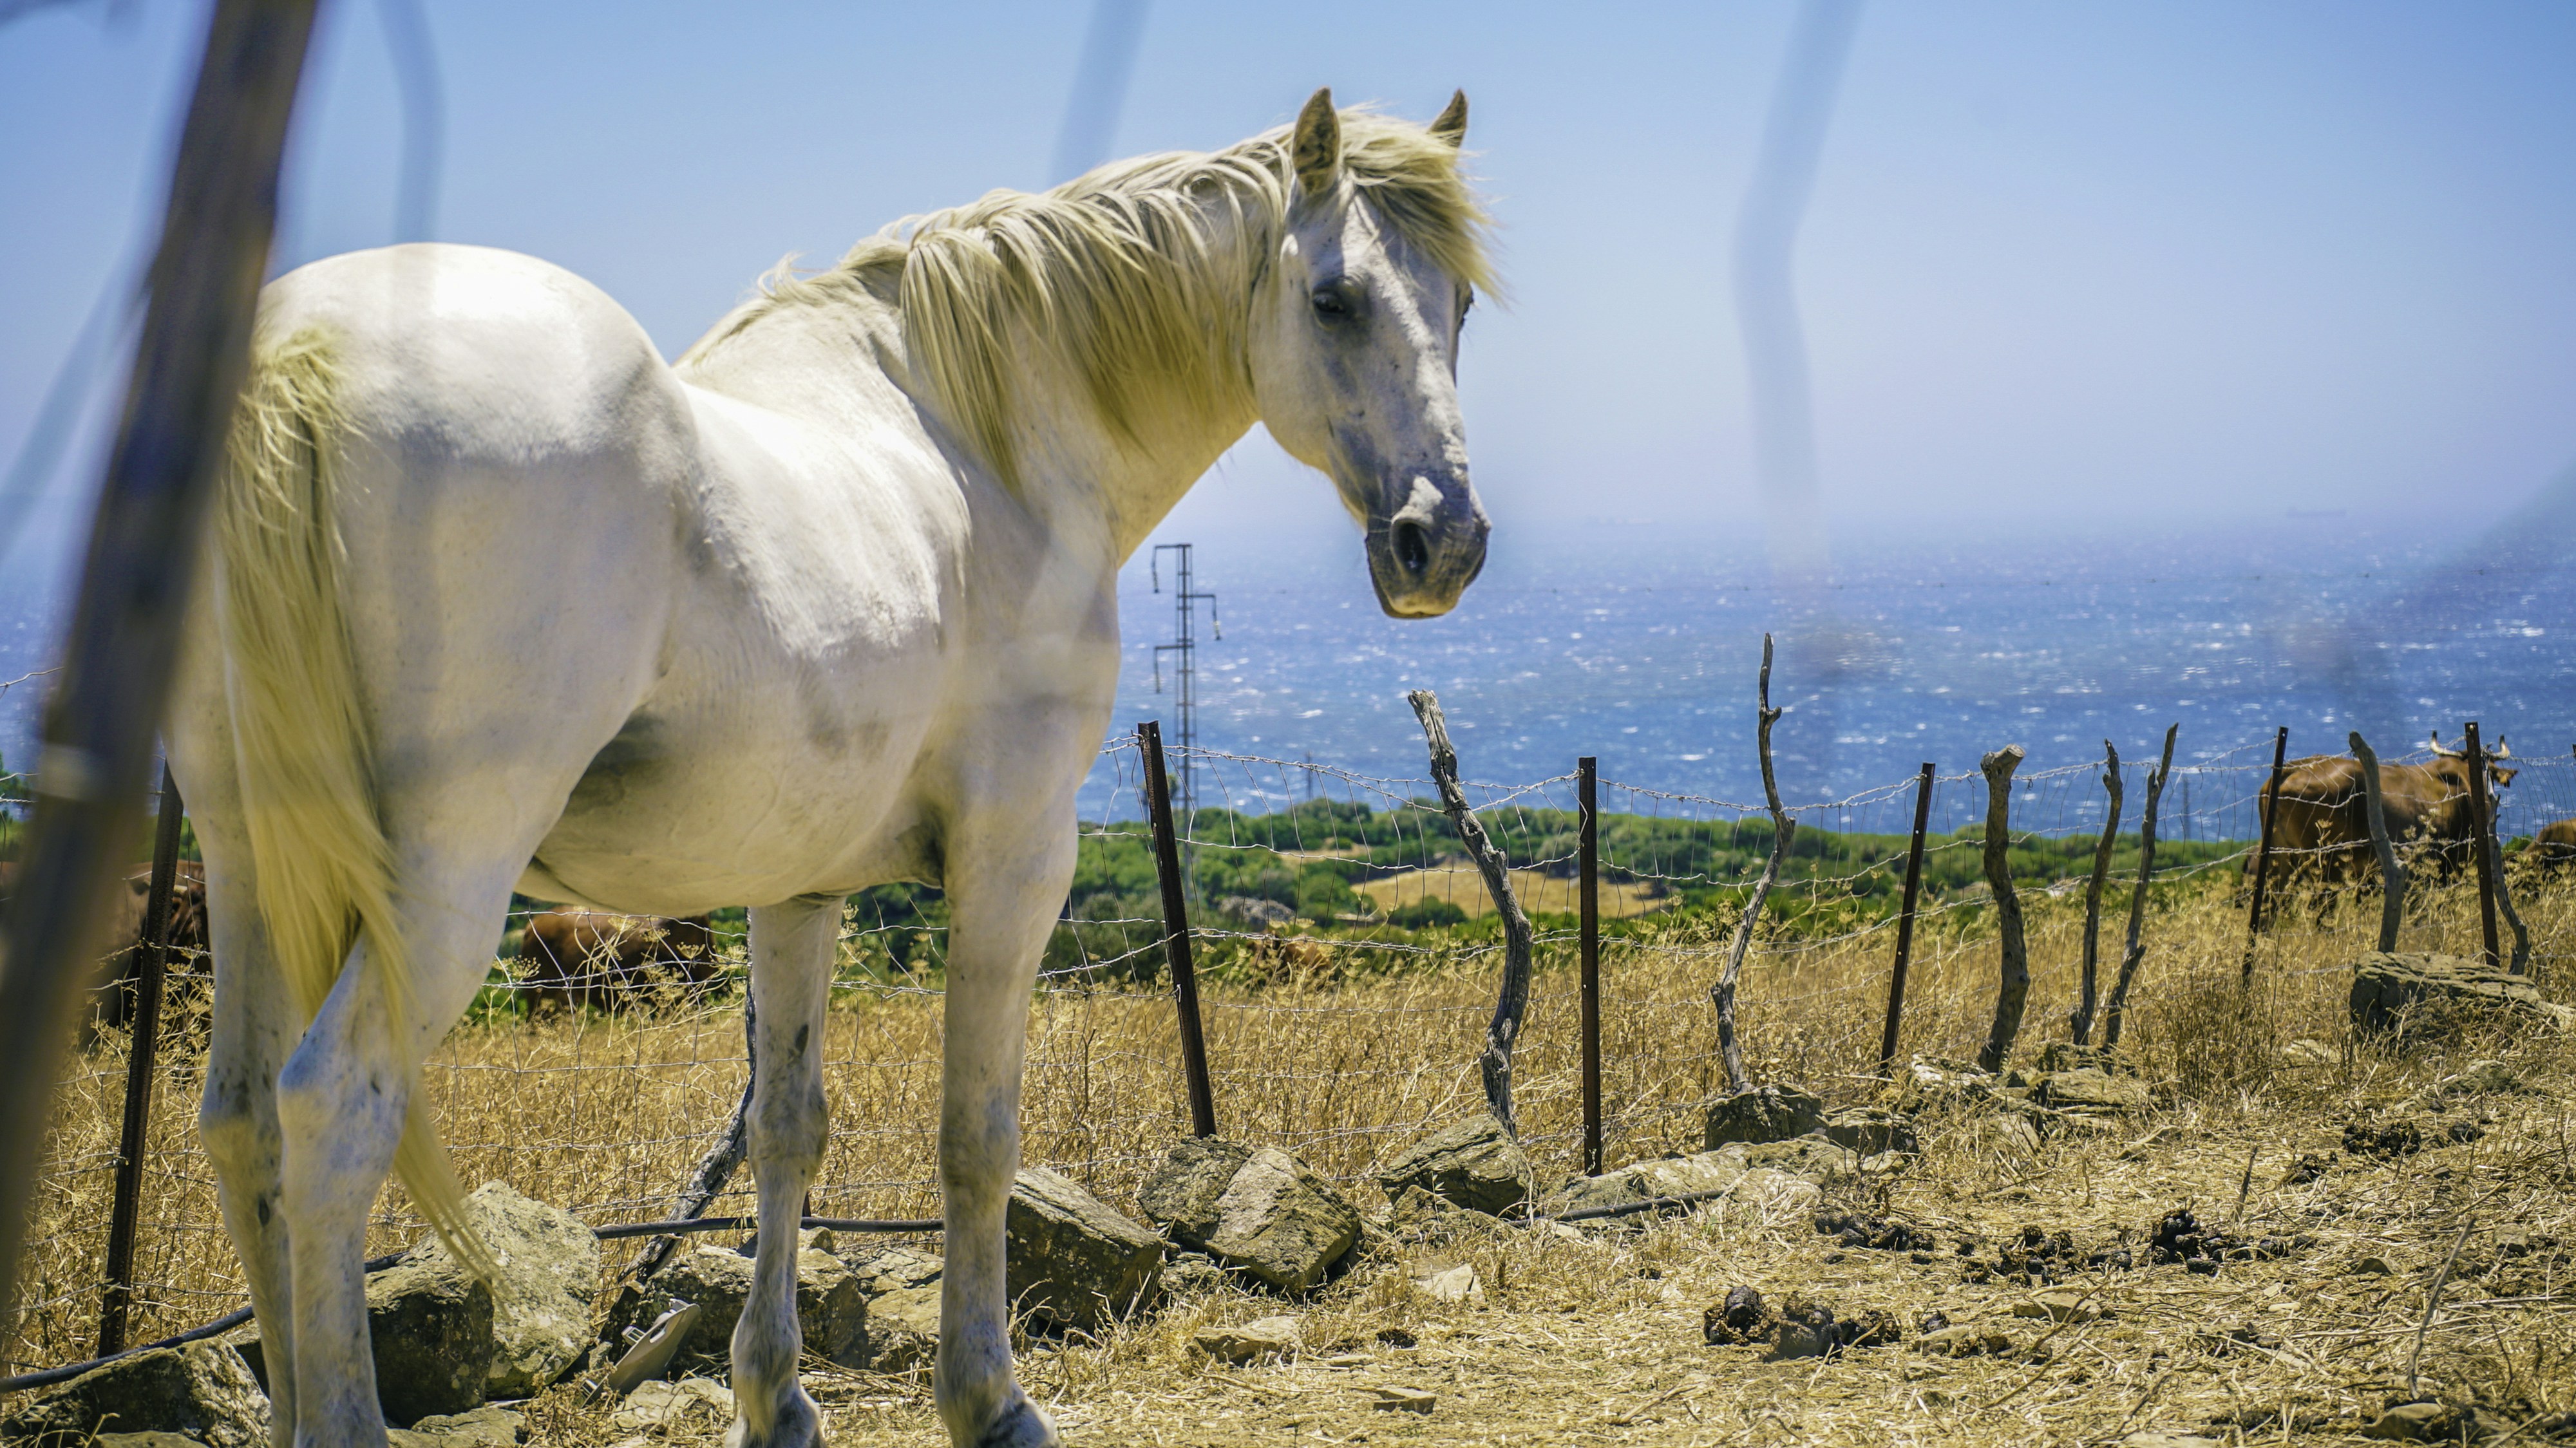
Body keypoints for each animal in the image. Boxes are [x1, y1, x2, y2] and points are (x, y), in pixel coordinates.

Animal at [168, 88, 1491, 1448]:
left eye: (1460, 304)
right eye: (1334, 298)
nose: (1442, 542)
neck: (976, 439)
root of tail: (303, 350)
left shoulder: (797, 884)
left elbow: (786, 1132)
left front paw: (777, 1396)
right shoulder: (1017, 852)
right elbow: (976, 1134)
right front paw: (988, 1396)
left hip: (248, 857)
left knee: (243, 1121)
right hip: (444, 883)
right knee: (332, 1114)